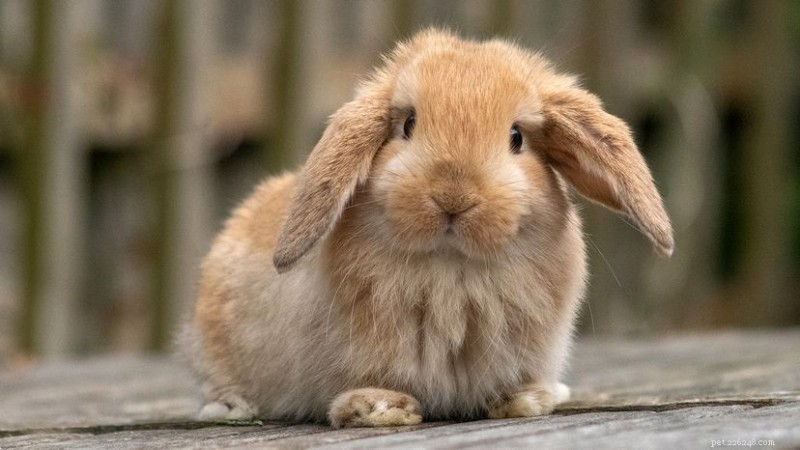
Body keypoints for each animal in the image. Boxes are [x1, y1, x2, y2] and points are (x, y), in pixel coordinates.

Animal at [178, 28, 673, 428]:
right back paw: (230, 407)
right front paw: (379, 408)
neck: (451, 266)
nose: (453, 196)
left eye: (516, 137)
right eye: (408, 124)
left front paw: (525, 399)